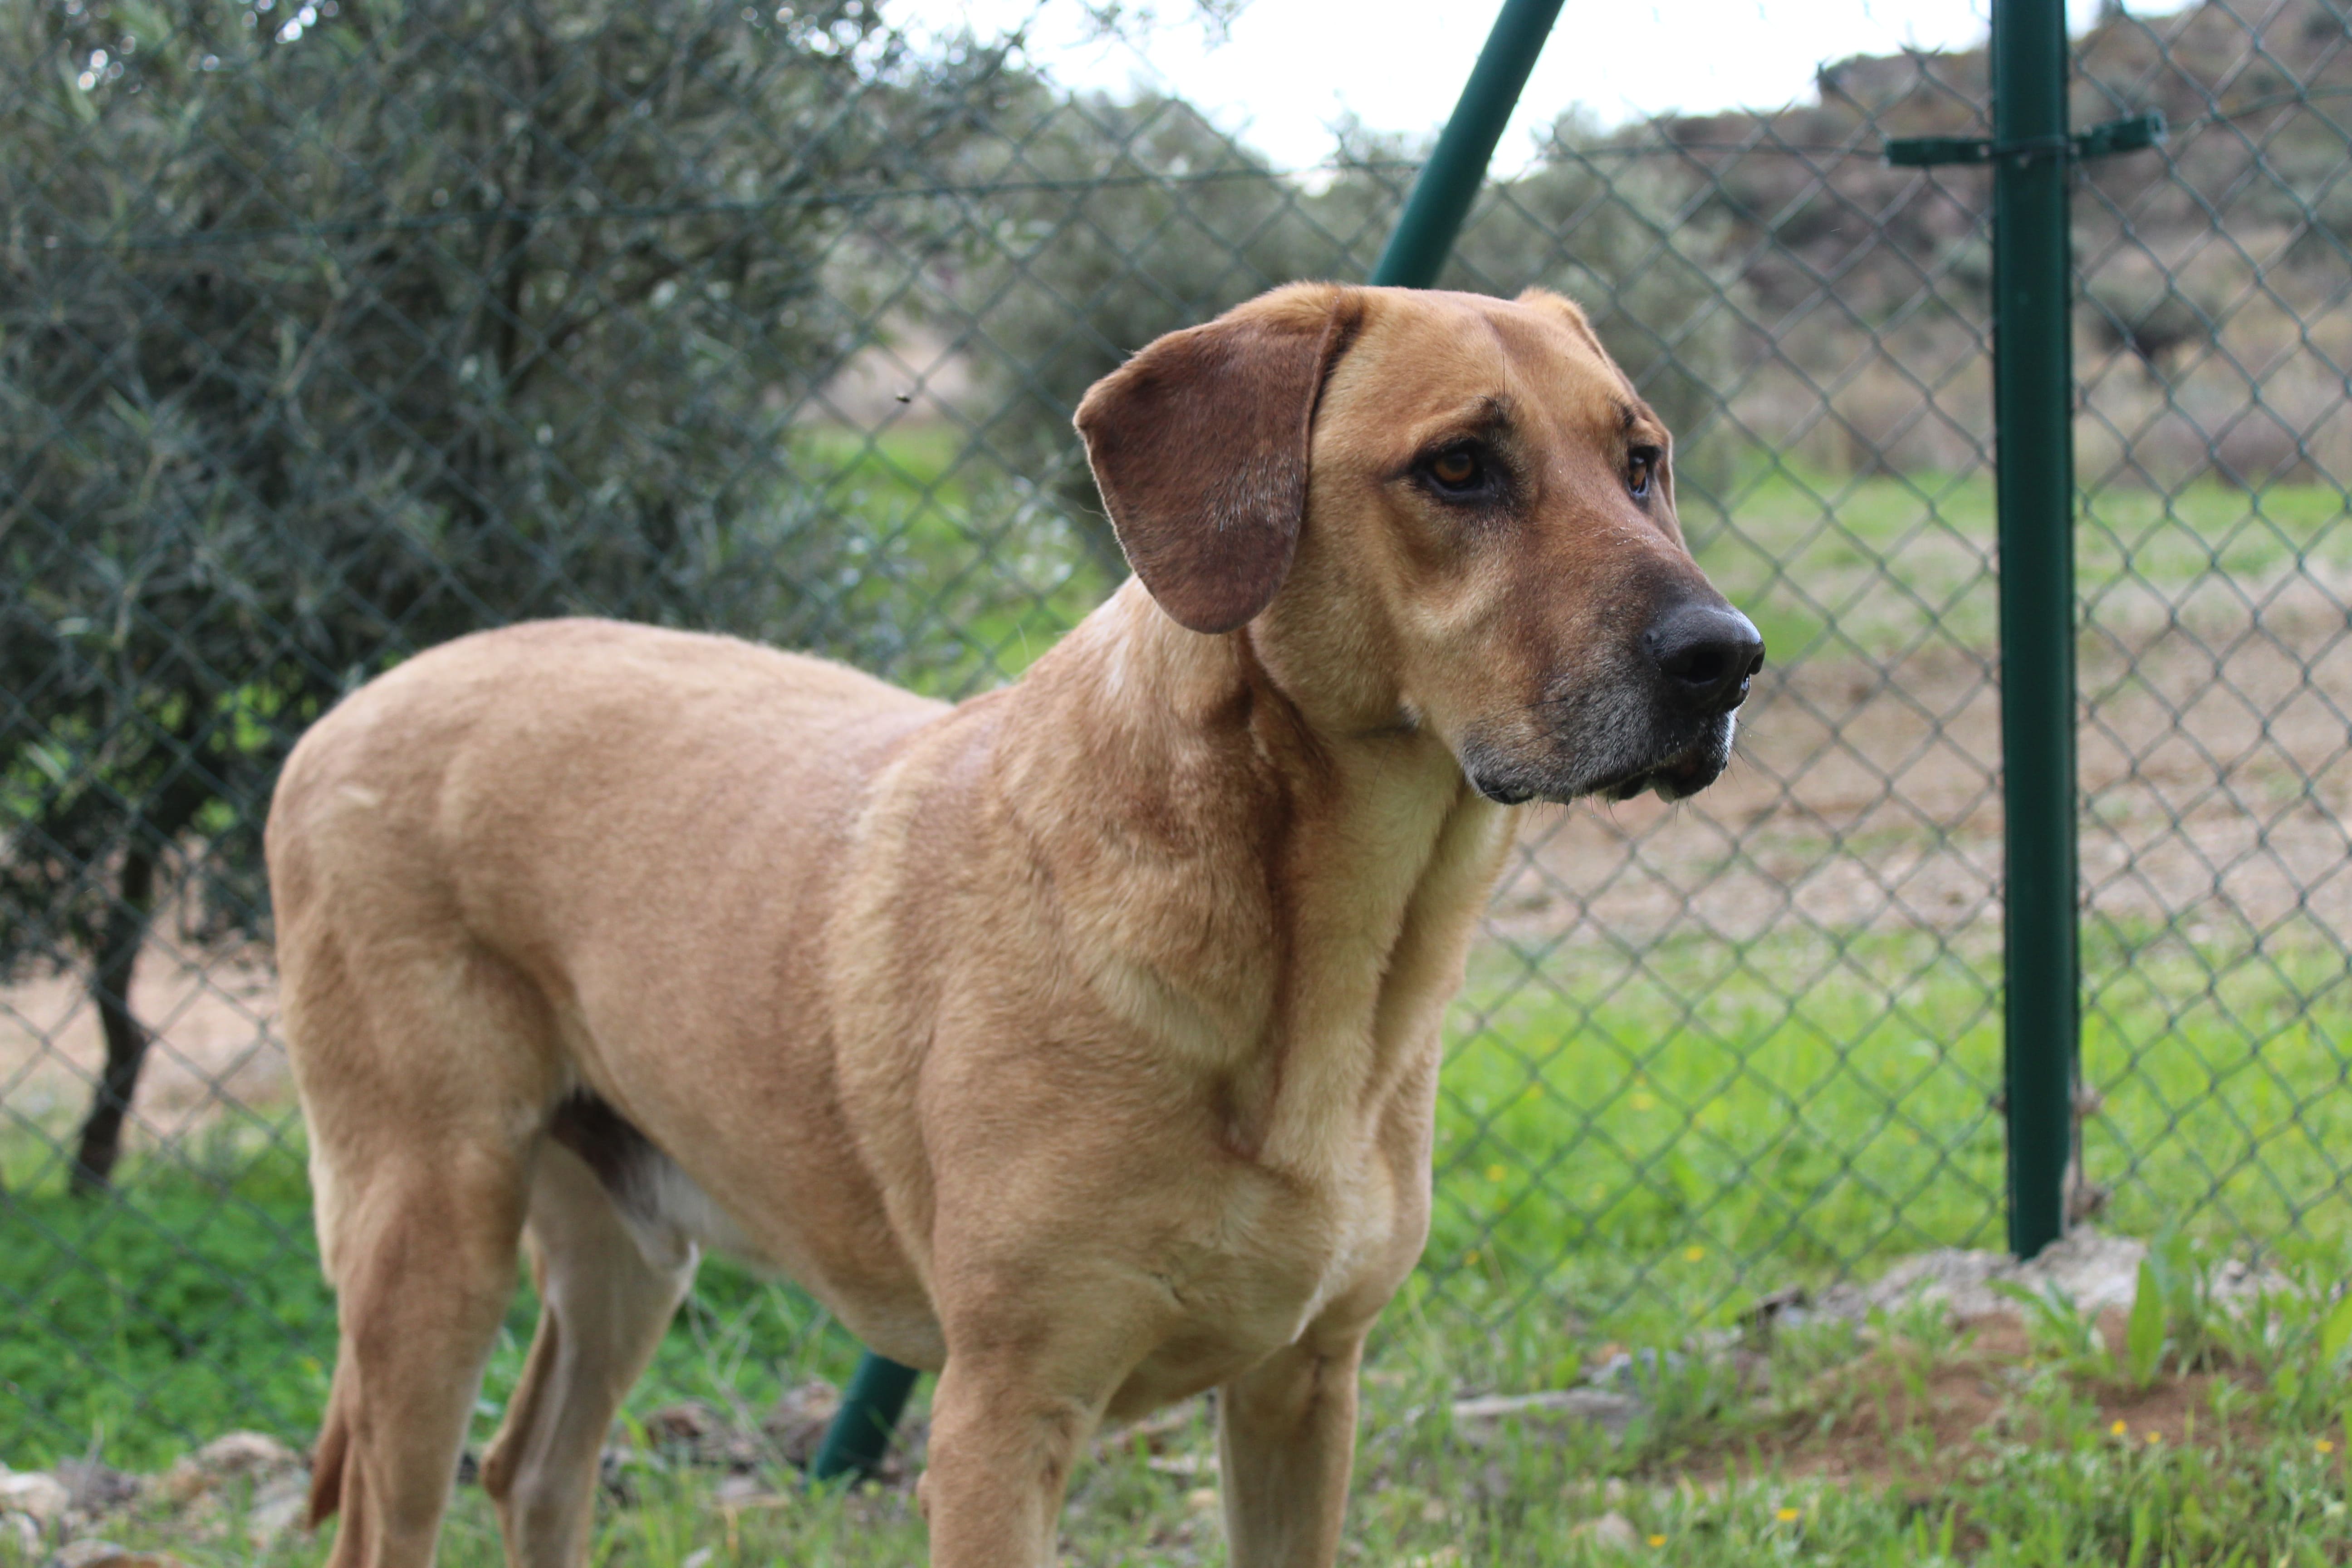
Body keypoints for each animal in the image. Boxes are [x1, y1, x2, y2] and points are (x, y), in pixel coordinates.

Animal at [267, 285, 1759, 1568]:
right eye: (1457, 468)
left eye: (1640, 463)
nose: (1726, 658)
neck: (1326, 960)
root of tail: (342, 715)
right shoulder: (1002, 1419)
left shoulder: (1303, 1388)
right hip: (427, 1242)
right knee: (396, 1516)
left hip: (626, 1243)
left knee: (535, 1468)